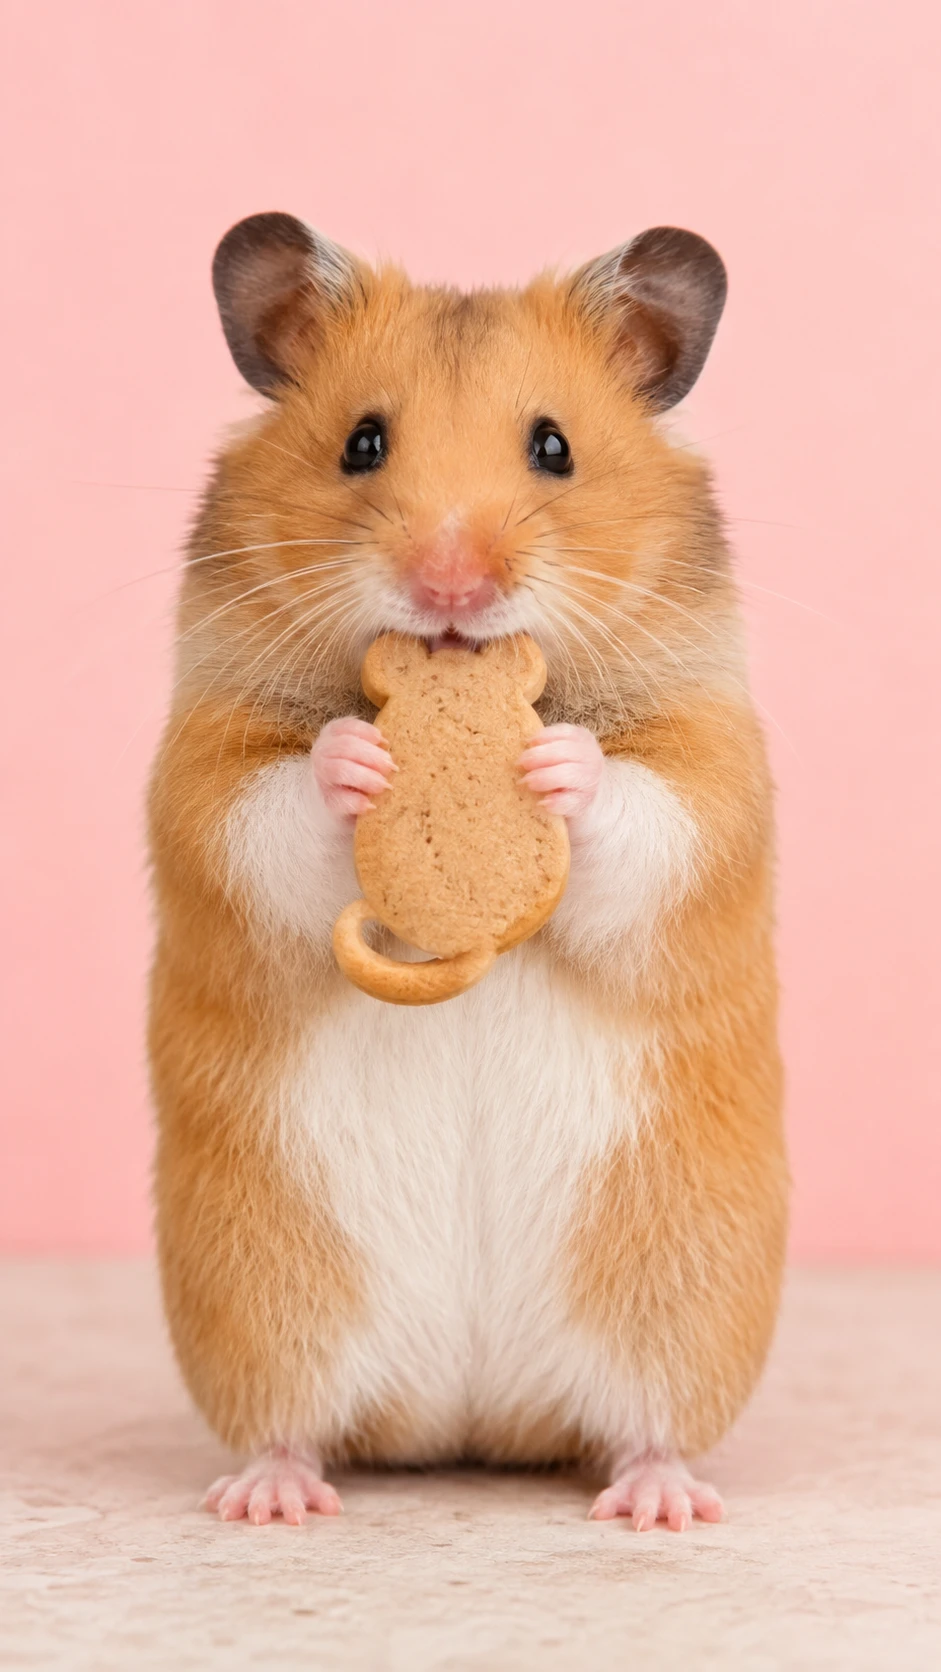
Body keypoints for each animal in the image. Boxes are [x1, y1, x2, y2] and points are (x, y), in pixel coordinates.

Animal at [148, 211, 787, 1531]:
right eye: (361, 442)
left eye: (553, 447)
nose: (448, 586)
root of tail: (474, 1418)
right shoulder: (200, 770)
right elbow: (260, 807)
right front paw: (355, 759)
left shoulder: (713, 769)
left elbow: (653, 811)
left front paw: (553, 763)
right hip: (255, 1301)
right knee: (291, 1420)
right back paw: (270, 1498)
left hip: (682, 1299)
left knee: (643, 1425)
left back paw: (658, 1505)